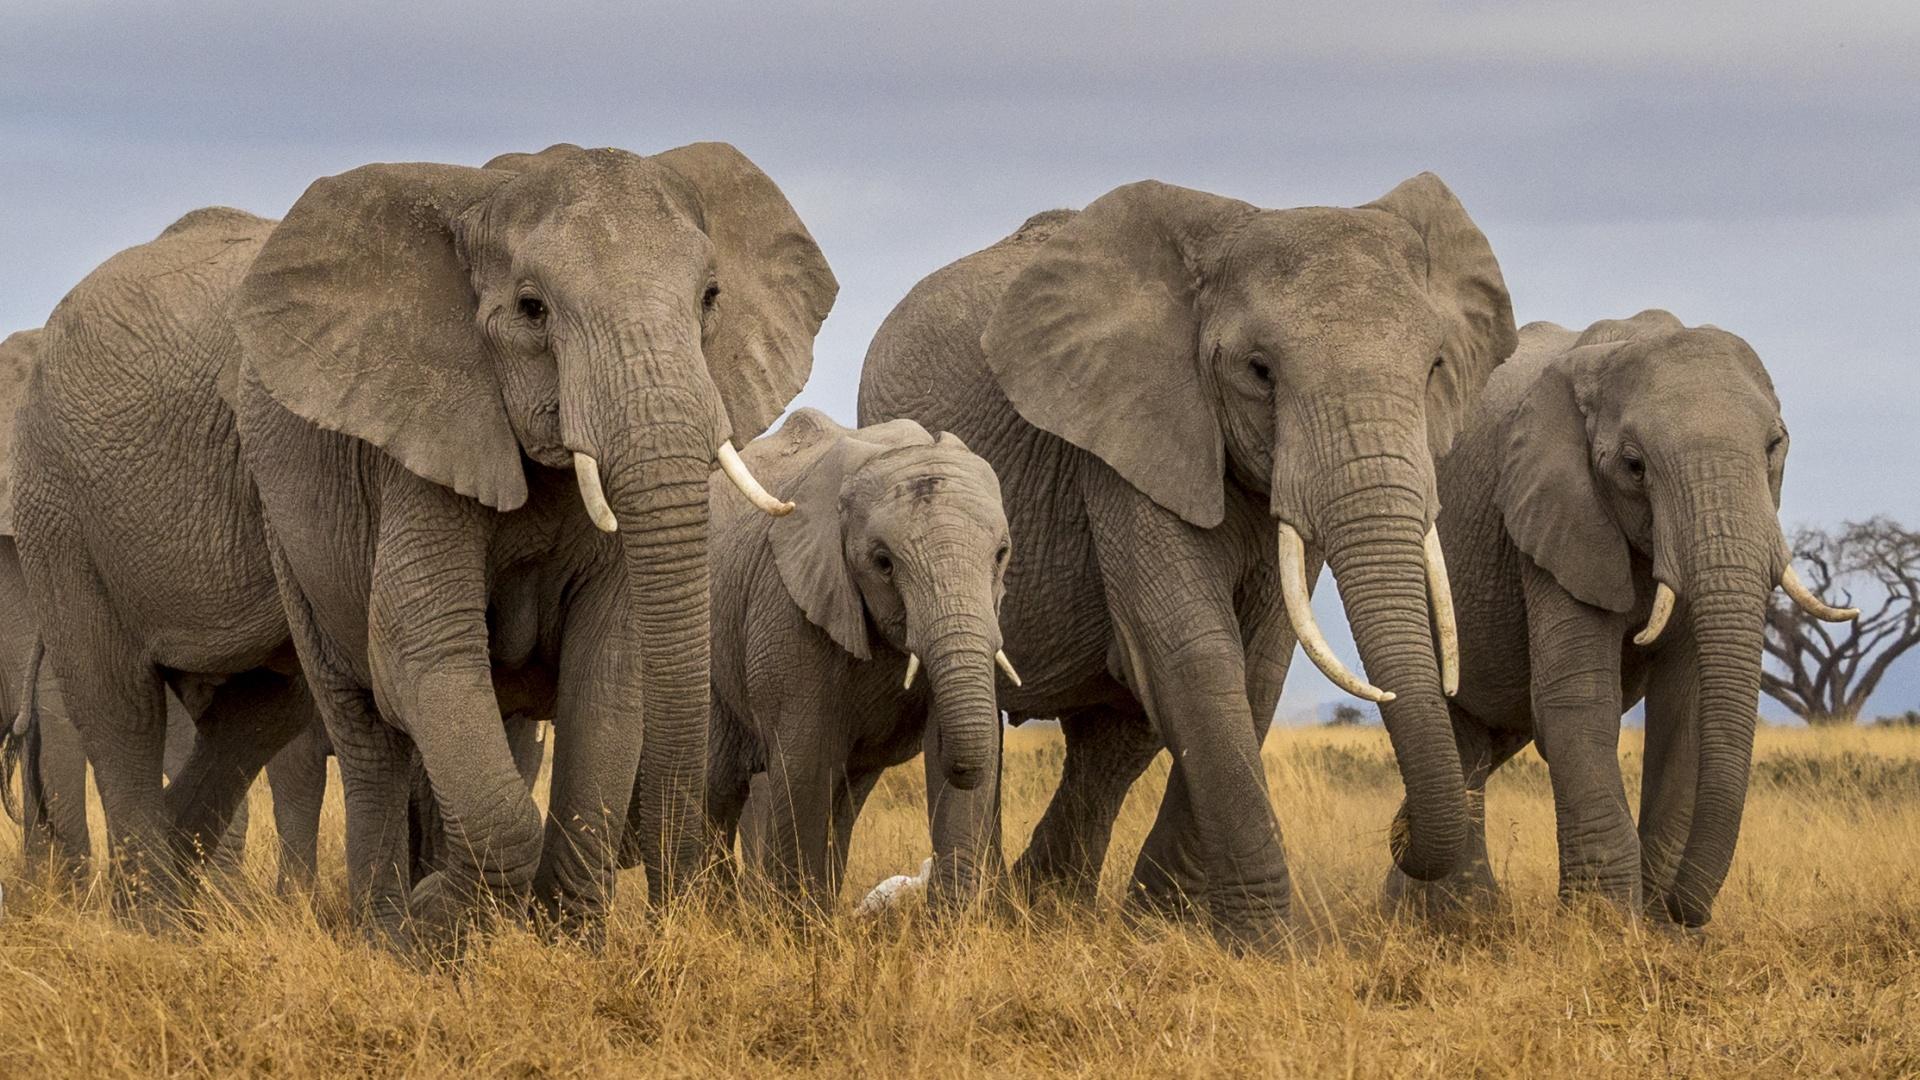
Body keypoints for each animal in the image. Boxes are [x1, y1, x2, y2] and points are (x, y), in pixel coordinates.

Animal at [228, 142, 835, 941]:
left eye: (710, 297)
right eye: (531, 309)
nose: (676, 901)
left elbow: (609, 667)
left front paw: (568, 938)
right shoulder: (423, 442)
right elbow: (420, 652)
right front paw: (436, 920)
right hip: (287, 537)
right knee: (366, 734)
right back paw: (385, 930)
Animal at [702, 409, 1015, 910]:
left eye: (1001, 555)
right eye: (883, 563)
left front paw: (952, 923)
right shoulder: (789, 599)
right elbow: (805, 759)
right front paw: (795, 924)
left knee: (845, 797)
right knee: (718, 785)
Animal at [859, 174, 1516, 947]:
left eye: (1436, 367)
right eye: (1259, 372)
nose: (1401, 829)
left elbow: (1257, 664)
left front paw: (1161, 929)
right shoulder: (1121, 438)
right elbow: (1195, 653)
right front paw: (1265, 949)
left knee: (1115, 741)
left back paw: (1052, 907)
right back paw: (977, 915)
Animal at [1380, 311, 1856, 928]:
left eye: (1776, 445)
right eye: (1634, 467)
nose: (1688, 911)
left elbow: (1687, 709)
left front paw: (1662, 931)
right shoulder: (1554, 512)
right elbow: (1578, 699)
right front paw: (1604, 925)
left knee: (1484, 737)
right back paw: (1455, 916)